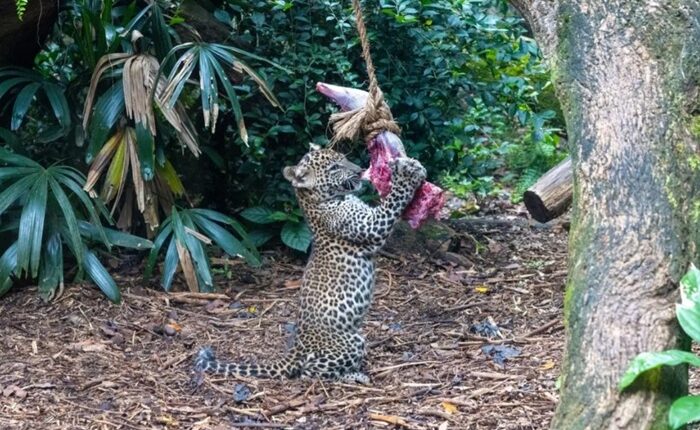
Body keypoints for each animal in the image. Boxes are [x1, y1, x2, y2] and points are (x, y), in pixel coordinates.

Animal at [194, 146, 426, 384]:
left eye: (344, 159)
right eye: (334, 168)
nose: (360, 171)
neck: (317, 203)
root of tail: (296, 350)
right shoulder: (372, 225)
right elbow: (392, 201)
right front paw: (407, 174)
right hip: (351, 341)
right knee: (310, 373)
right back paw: (354, 376)